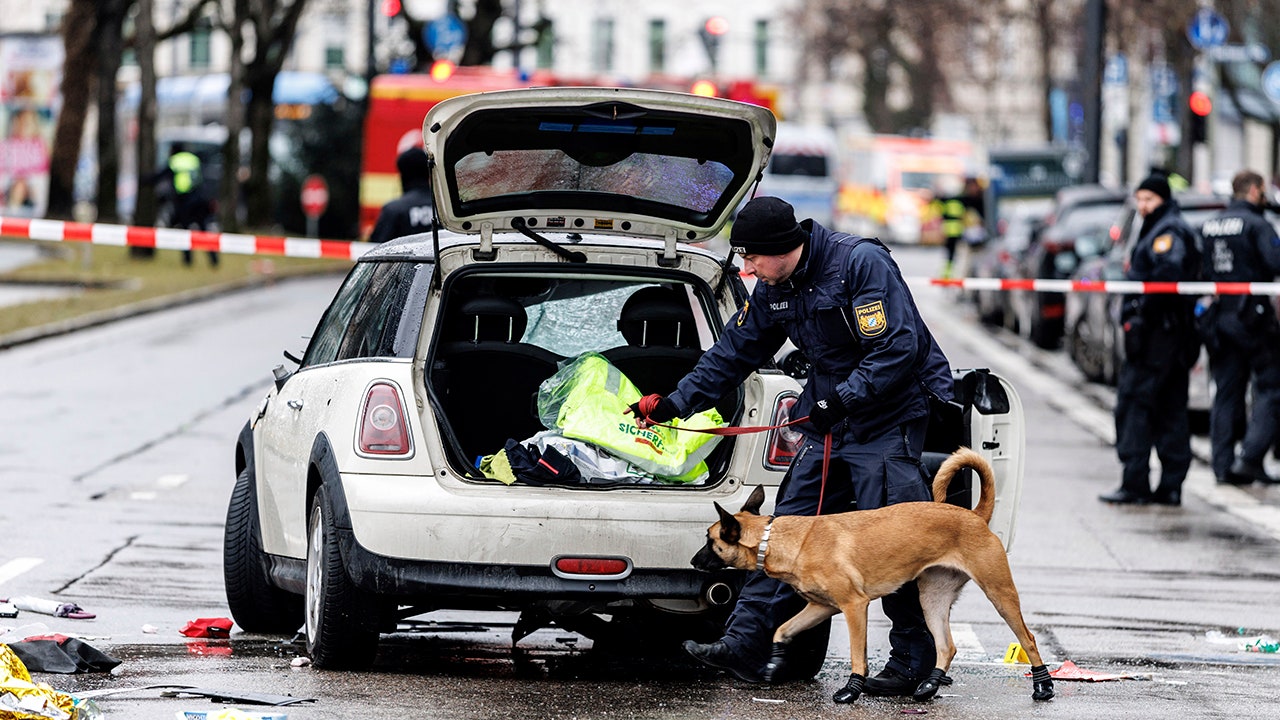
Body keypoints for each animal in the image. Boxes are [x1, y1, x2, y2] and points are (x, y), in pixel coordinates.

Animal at [696, 445, 1054, 702]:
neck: (779, 539)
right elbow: (782, 630)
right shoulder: (820, 607)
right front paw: (774, 662)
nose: (694, 561)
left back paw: (1043, 686)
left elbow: (858, 655)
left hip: (999, 594)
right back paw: (929, 686)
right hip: (932, 599)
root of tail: (975, 515)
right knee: (946, 647)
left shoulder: (855, 607)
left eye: (711, 541)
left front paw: (852, 689)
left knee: (1029, 638)